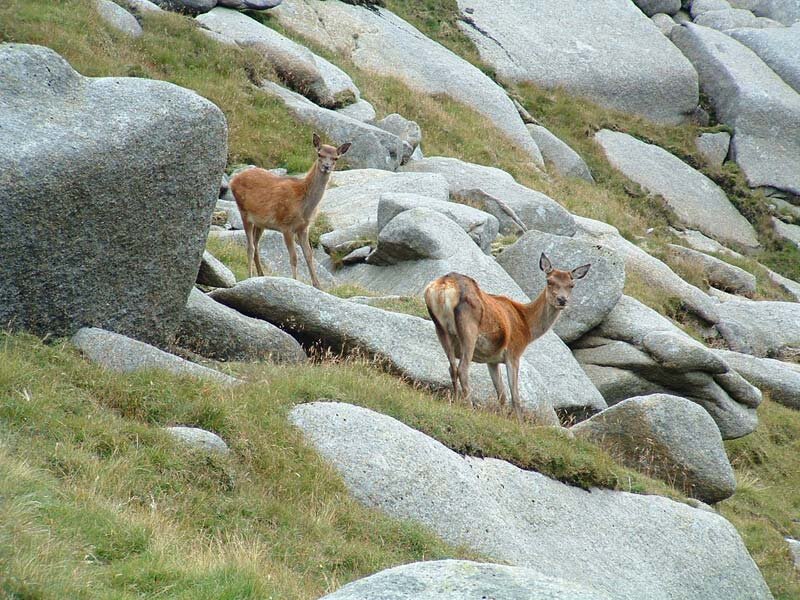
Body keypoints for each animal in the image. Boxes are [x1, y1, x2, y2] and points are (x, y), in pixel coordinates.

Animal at [229, 132, 351, 289]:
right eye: (319, 154)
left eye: (336, 158)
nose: (326, 166)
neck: (303, 206)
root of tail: (233, 180)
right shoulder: (286, 226)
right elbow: (294, 257)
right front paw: (295, 281)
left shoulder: (304, 227)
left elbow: (309, 255)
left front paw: (318, 286)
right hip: (244, 212)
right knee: (250, 247)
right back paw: (249, 276)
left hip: (260, 223)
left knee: (256, 245)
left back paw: (261, 275)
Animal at [424, 253, 590, 421]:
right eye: (549, 281)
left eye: (571, 285)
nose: (562, 300)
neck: (527, 326)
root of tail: (443, 286)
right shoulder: (514, 352)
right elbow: (515, 396)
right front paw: (519, 423)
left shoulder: (491, 360)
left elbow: (502, 394)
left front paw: (502, 417)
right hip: (469, 328)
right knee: (462, 369)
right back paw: (469, 408)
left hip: (440, 328)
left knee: (451, 367)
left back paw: (456, 401)